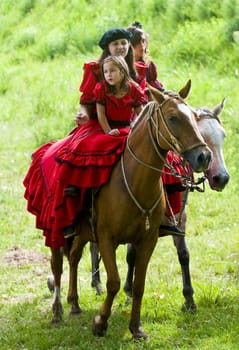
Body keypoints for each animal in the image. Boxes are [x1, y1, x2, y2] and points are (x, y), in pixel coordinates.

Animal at [49, 80, 211, 340]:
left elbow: (138, 284)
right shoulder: (106, 238)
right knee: (57, 266)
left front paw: (136, 328)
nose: (203, 156)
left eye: (195, 117)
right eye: (173, 118)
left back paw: (73, 303)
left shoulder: (147, 240)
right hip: (57, 228)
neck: (134, 181)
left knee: (73, 257)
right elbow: (114, 282)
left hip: (82, 231)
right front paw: (100, 322)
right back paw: (57, 312)